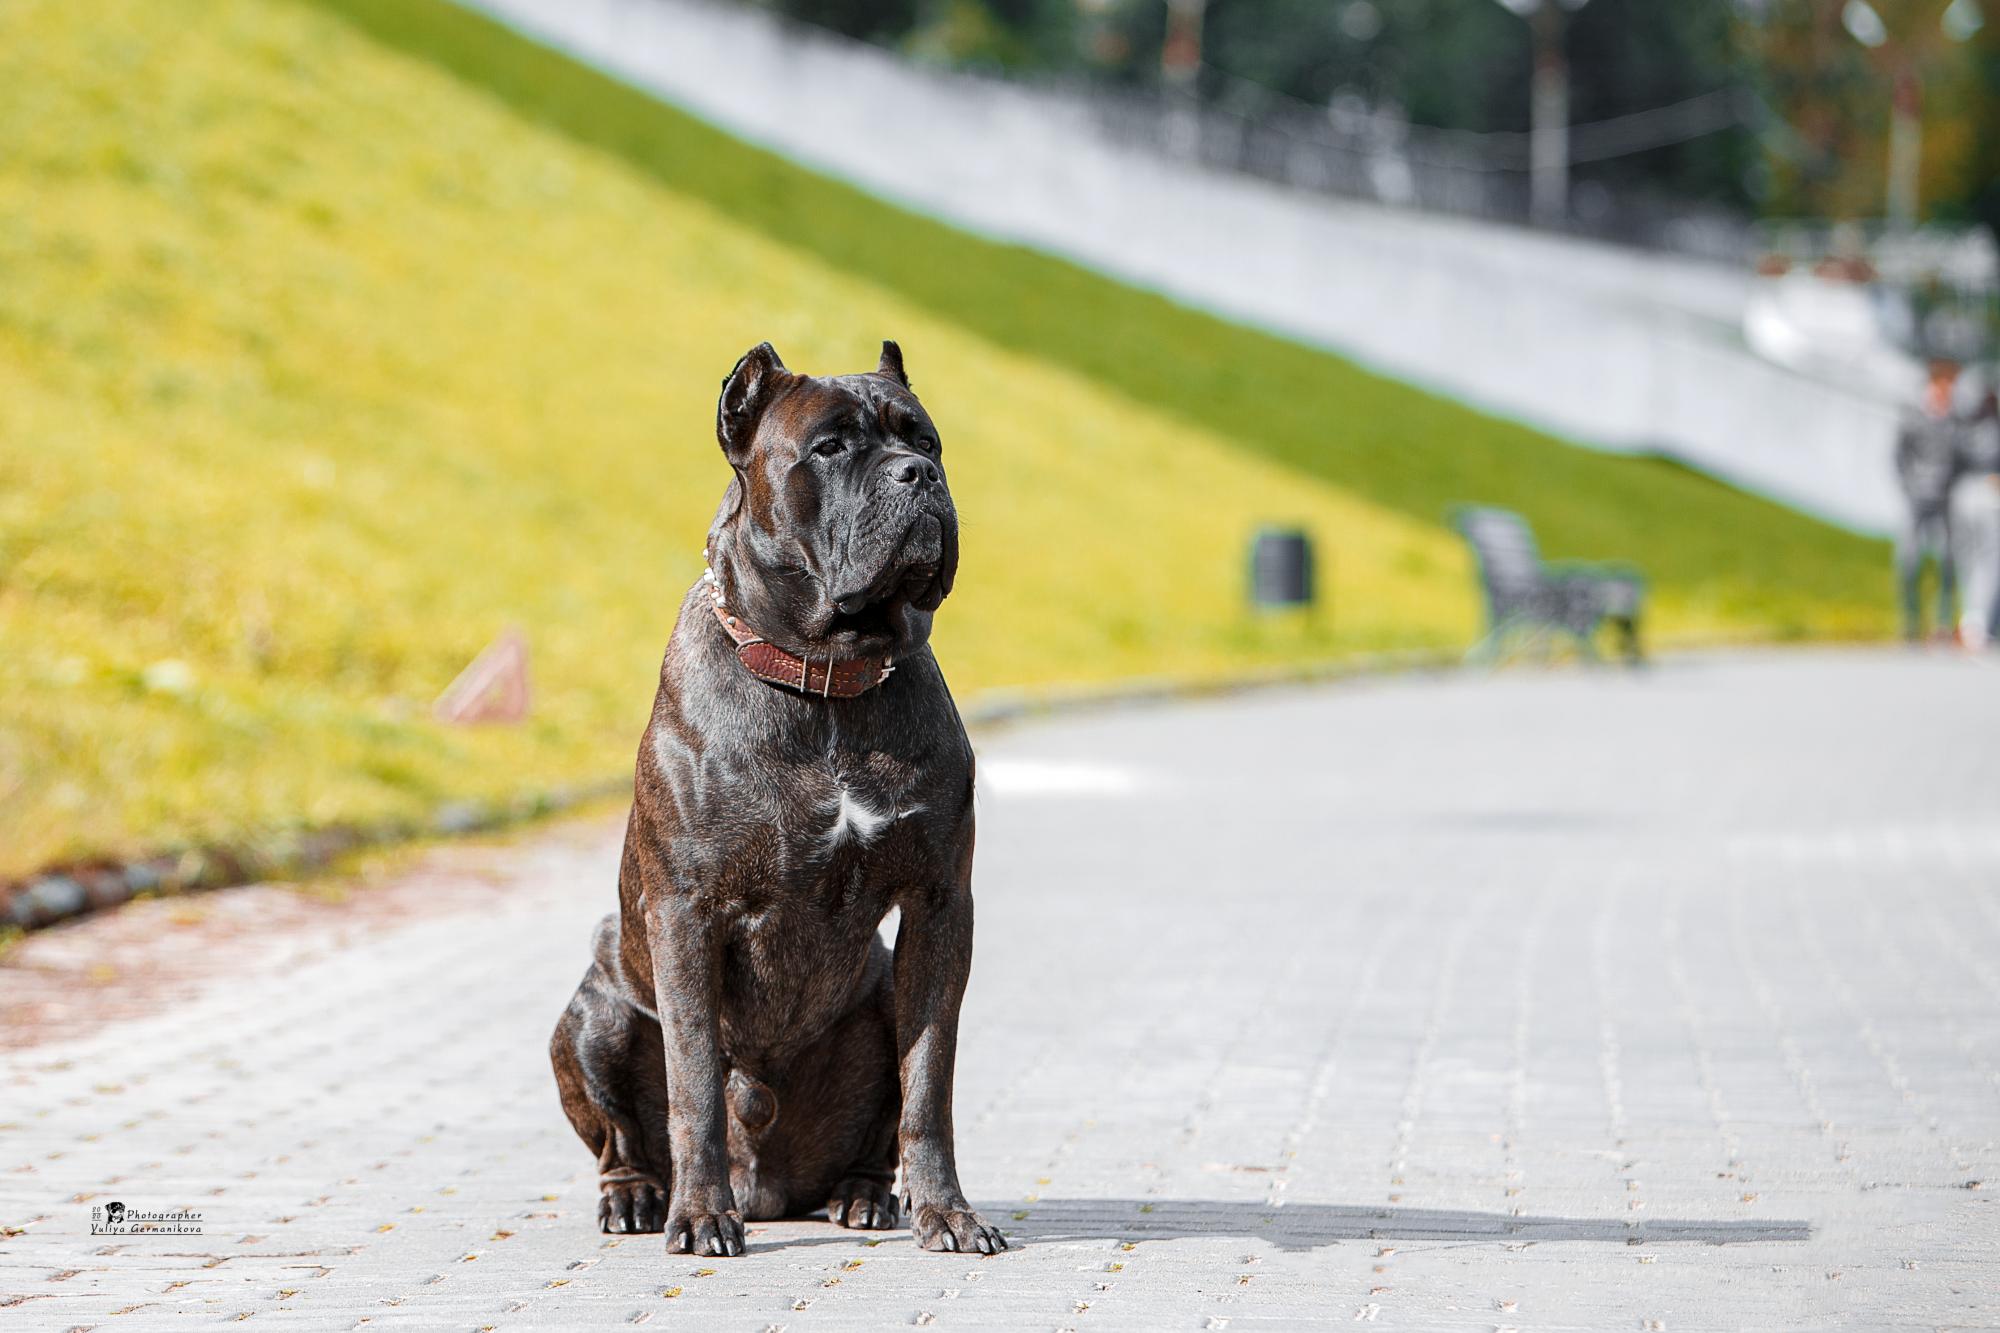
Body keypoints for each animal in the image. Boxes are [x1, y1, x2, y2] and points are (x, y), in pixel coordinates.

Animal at [548, 338, 1008, 1248]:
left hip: (877, 997)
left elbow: (929, 1078)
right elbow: (693, 1076)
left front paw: (948, 1209)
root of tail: (772, 1187)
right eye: (828, 448)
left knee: (877, 1125)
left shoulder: (942, 904)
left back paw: (866, 1195)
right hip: (594, 1014)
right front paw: (699, 1213)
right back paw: (639, 1195)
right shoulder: (686, 912)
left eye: (926, 442)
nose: (917, 475)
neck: (827, 678)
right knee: (625, 1133)